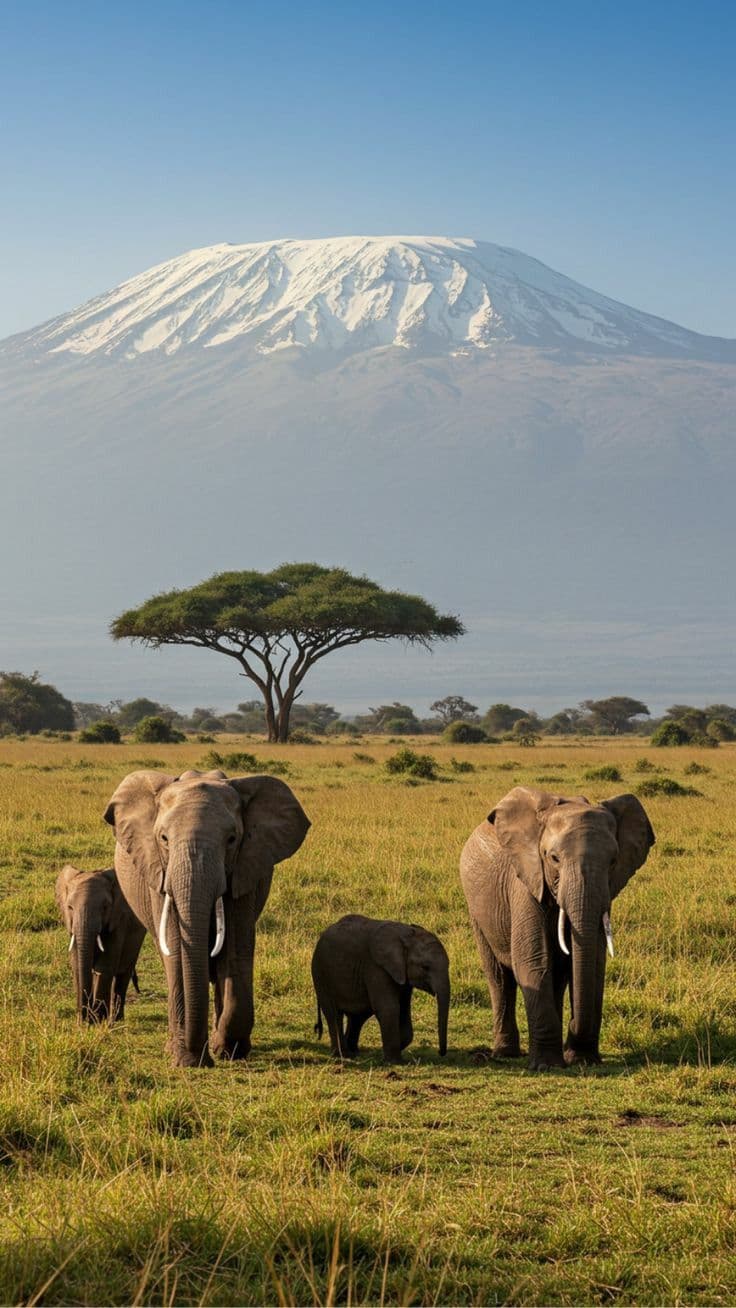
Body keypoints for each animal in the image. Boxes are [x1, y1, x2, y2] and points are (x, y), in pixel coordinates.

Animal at [55, 864, 146, 1023]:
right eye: (70, 907)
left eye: (105, 907)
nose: (84, 1018)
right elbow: (77, 965)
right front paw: (84, 1021)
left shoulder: (118, 921)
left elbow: (104, 966)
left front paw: (97, 1021)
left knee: (123, 974)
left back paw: (116, 1020)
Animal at [103, 768, 309, 1067]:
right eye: (163, 839)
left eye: (232, 839)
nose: (201, 1059)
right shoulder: (158, 873)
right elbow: (176, 952)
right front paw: (185, 1058)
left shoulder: (246, 868)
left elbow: (236, 950)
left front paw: (227, 1049)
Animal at [311, 914, 450, 1063]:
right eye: (425, 967)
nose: (441, 1052)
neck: (406, 935)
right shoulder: (376, 967)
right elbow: (389, 1008)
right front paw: (393, 1061)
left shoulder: (402, 974)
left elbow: (403, 1009)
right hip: (320, 974)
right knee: (333, 1013)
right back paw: (343, 1055)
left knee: (358, 1016)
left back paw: (354, 1052)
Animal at [460, 787, 654, 1071]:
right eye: (554, 858)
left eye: (613, 861)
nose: (573, 1031)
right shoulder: (526, 880)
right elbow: (534, 960)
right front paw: (547, 1066)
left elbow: (594, 964)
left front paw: (582, 1060)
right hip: (477, 910)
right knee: (498, 976)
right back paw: (506, 1053)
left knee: (558, 977)